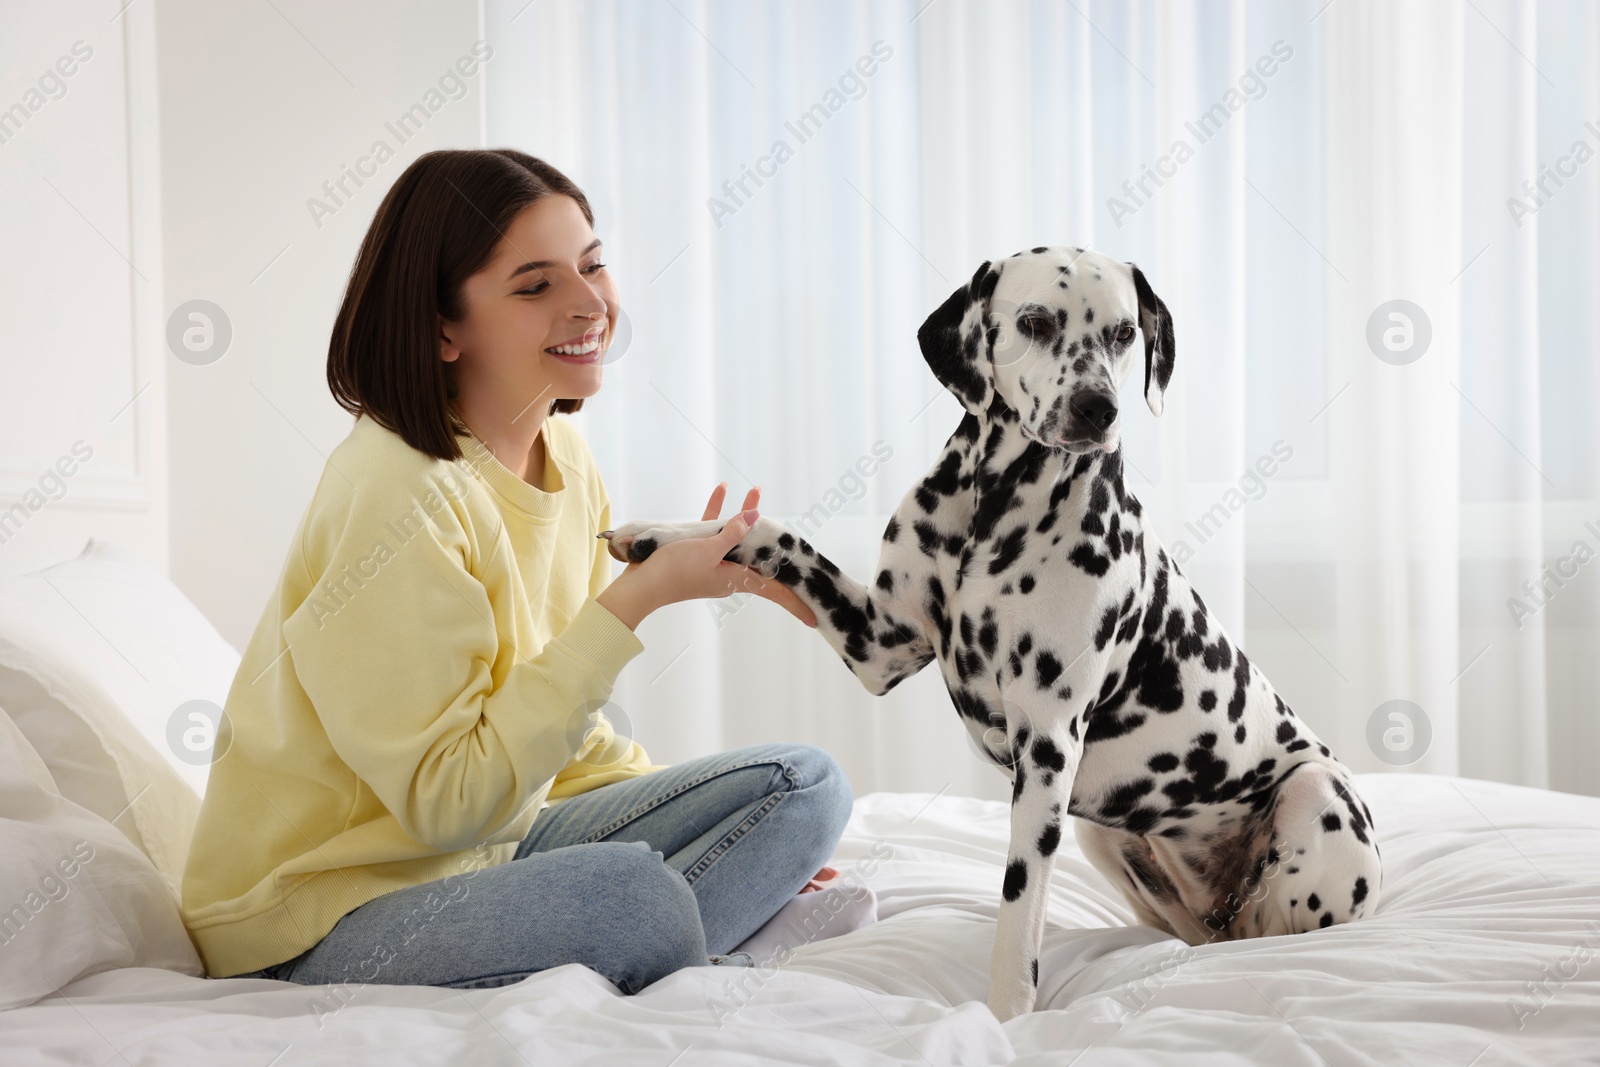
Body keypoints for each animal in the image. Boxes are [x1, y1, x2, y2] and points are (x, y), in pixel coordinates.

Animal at [604, 246, 1382, 1023]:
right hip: (1106, 834)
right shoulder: (879, 643)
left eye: (1124, 332)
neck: (997, 511)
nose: (1098, 408)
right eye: (1035, 322)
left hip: (1309, 795)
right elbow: (771, 534)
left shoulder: (1046, 749)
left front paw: (1007, 1018)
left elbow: (1017, 909)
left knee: (1268, 934)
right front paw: (661, 536)